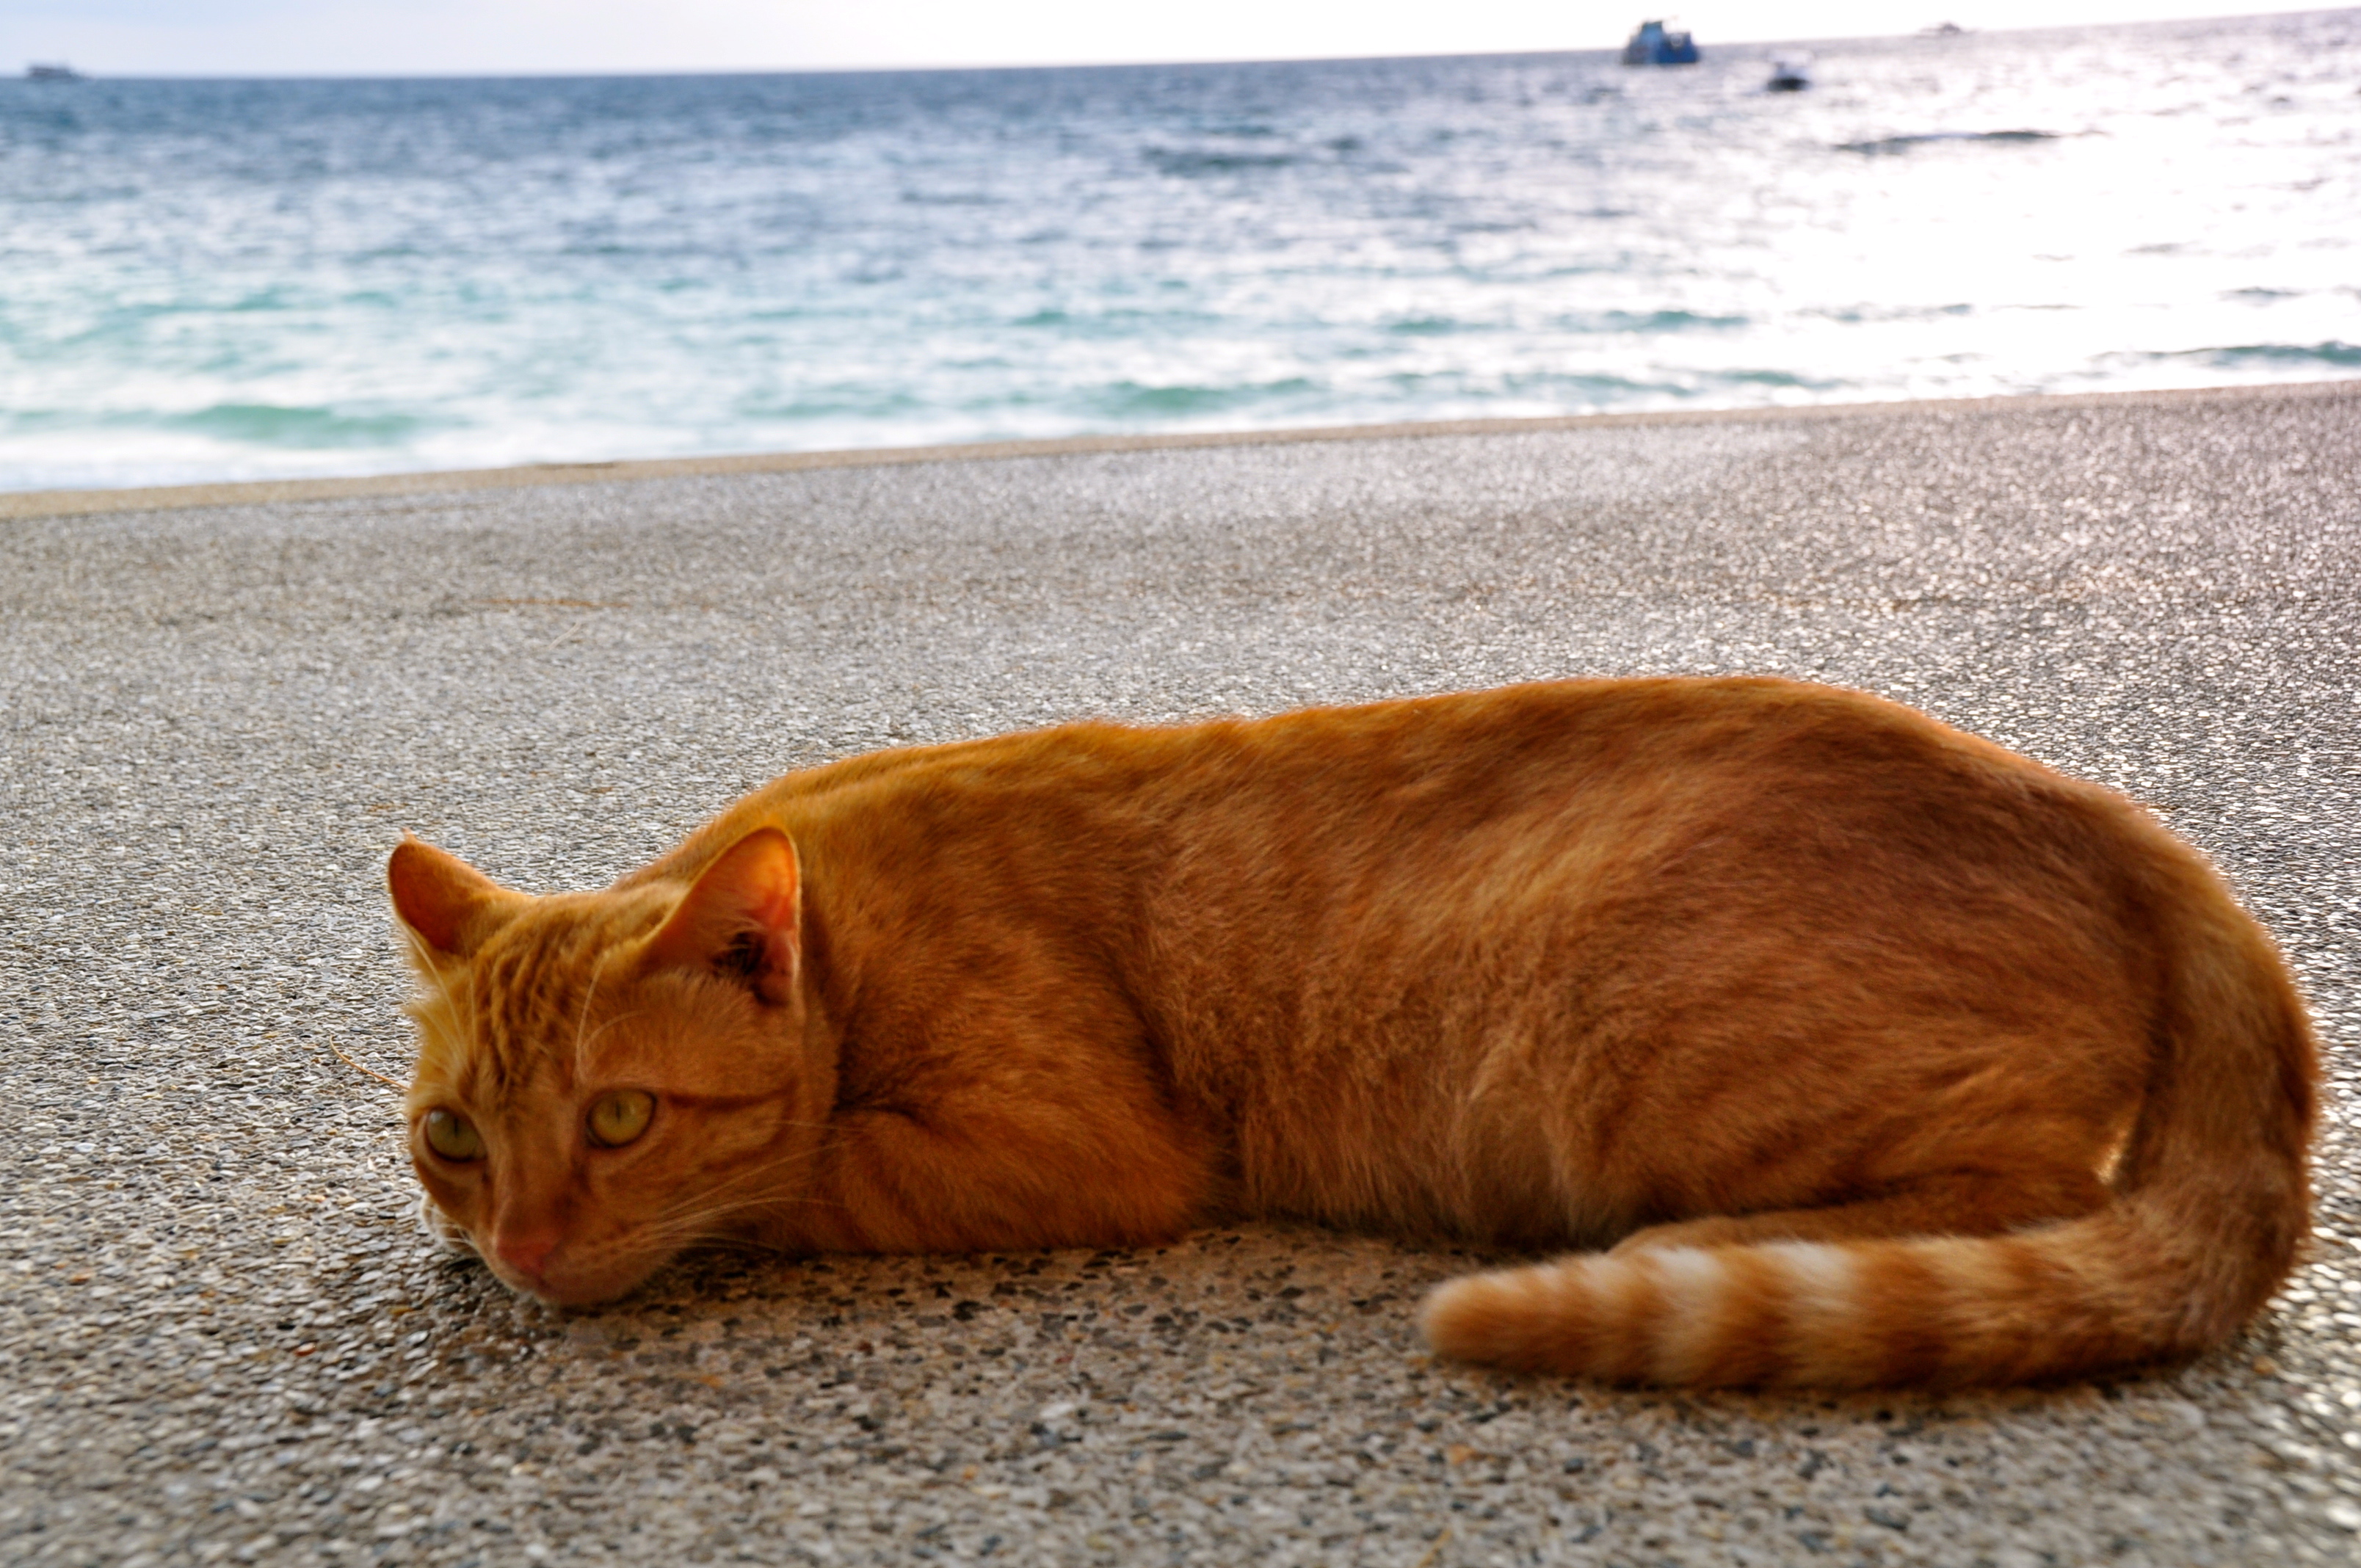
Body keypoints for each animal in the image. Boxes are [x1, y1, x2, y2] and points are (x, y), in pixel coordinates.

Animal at [387, 676, 2316, 1388]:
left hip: (1631, 1046)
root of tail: (2110, 814)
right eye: (455, 1140)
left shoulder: (1065, 1146)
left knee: (2022, 1189)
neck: (852, 930)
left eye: (620, 1120)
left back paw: (1703, 1245)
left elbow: (799, 1177)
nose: (528, 1247)